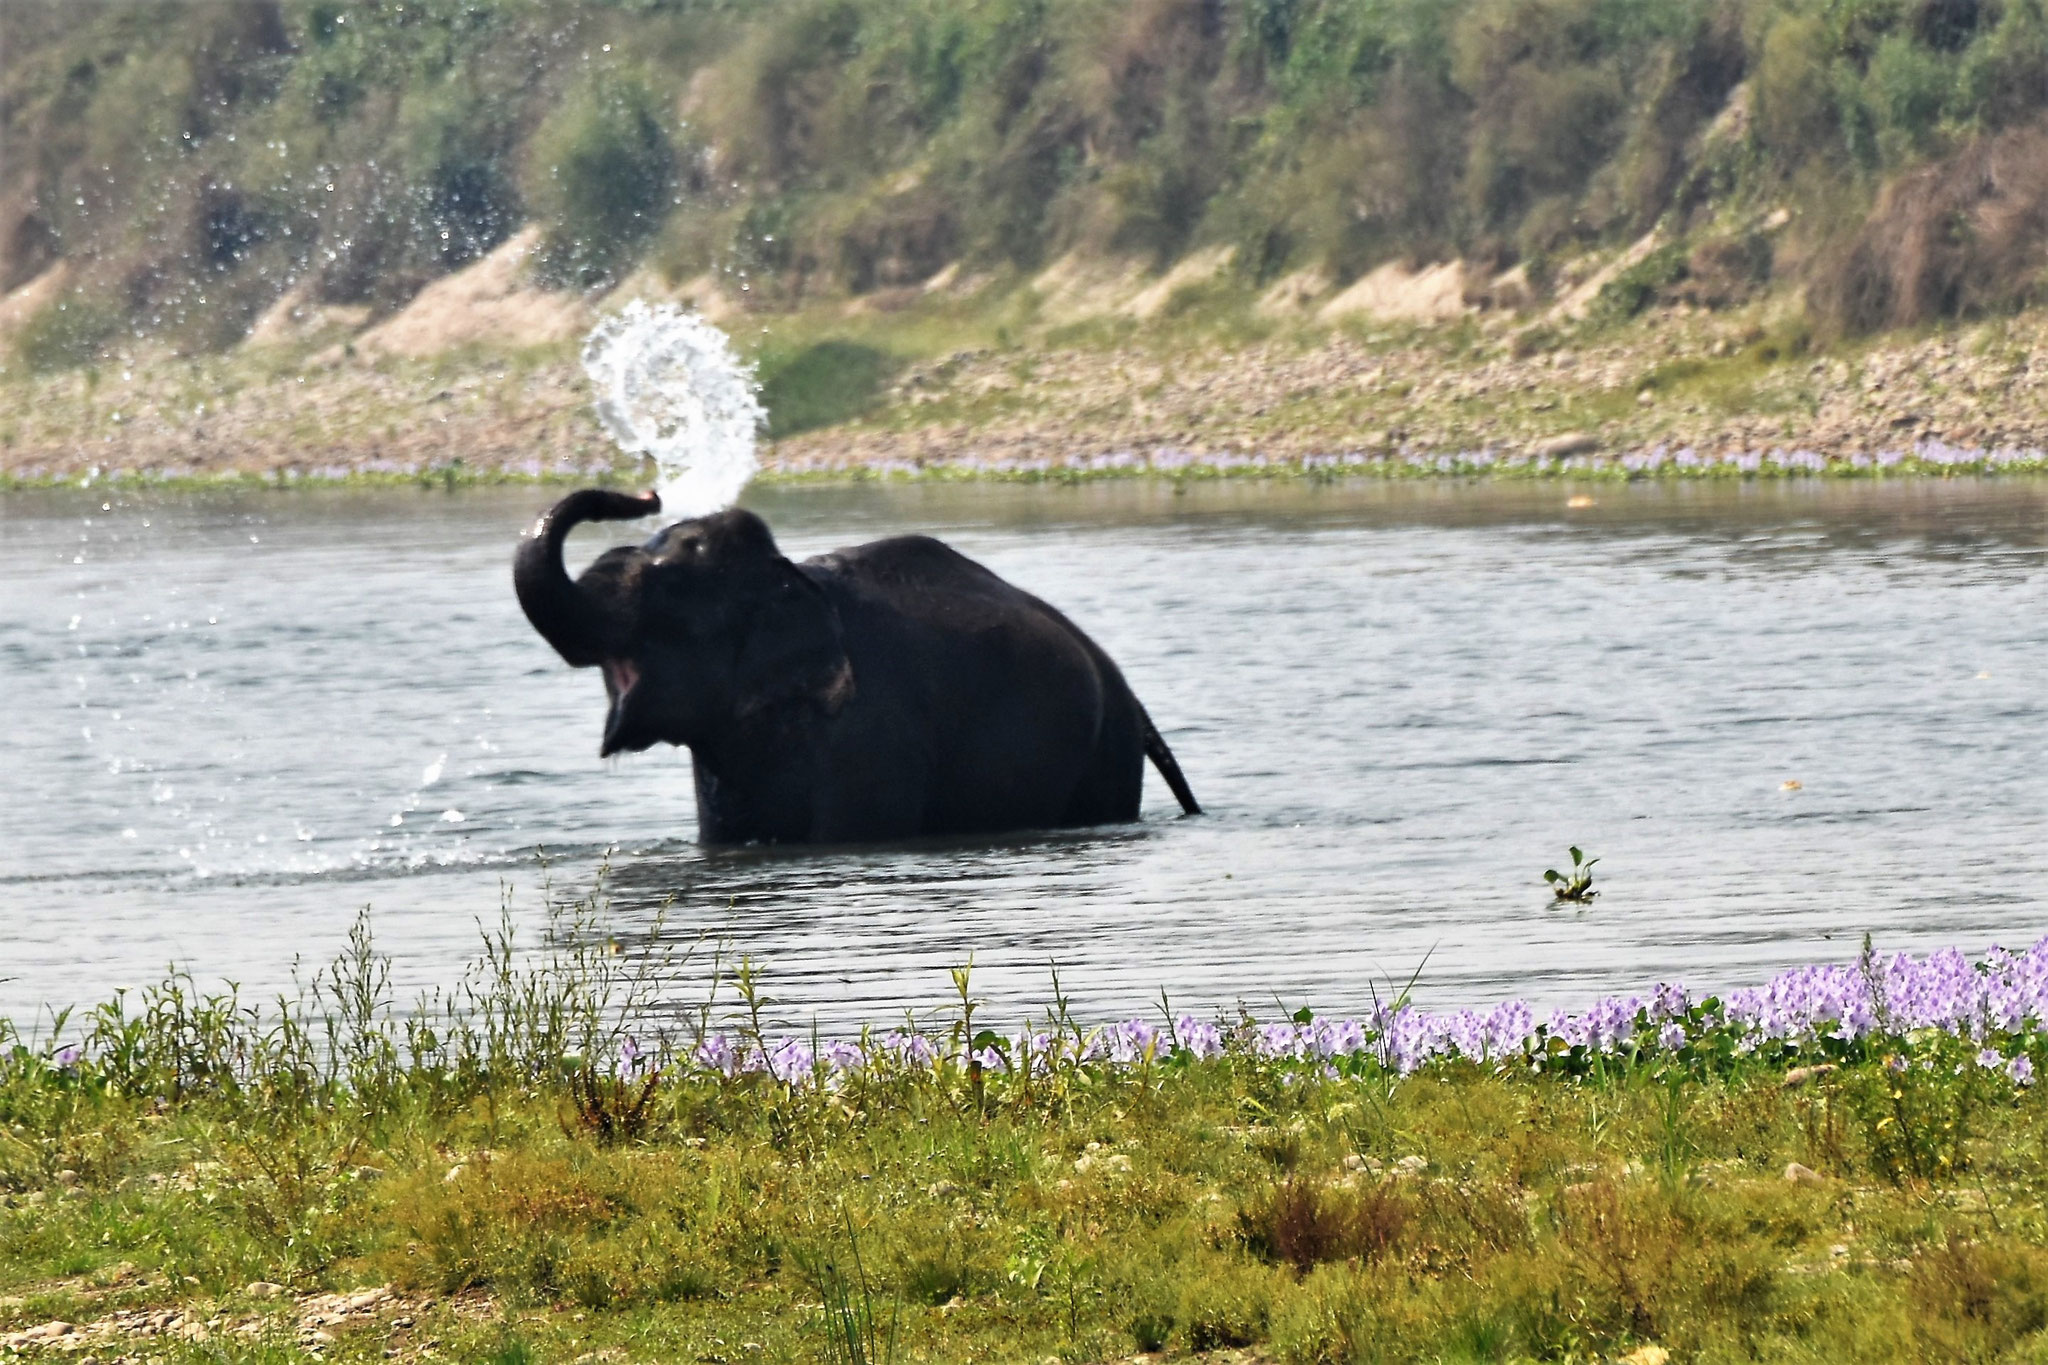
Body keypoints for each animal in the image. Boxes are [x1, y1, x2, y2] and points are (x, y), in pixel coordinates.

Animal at [512, 480, 1204, 843]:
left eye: (670, 589)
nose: (645, 493)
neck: (786, 578)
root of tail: (1127, 691)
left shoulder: (869, 739)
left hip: (1105, 756)